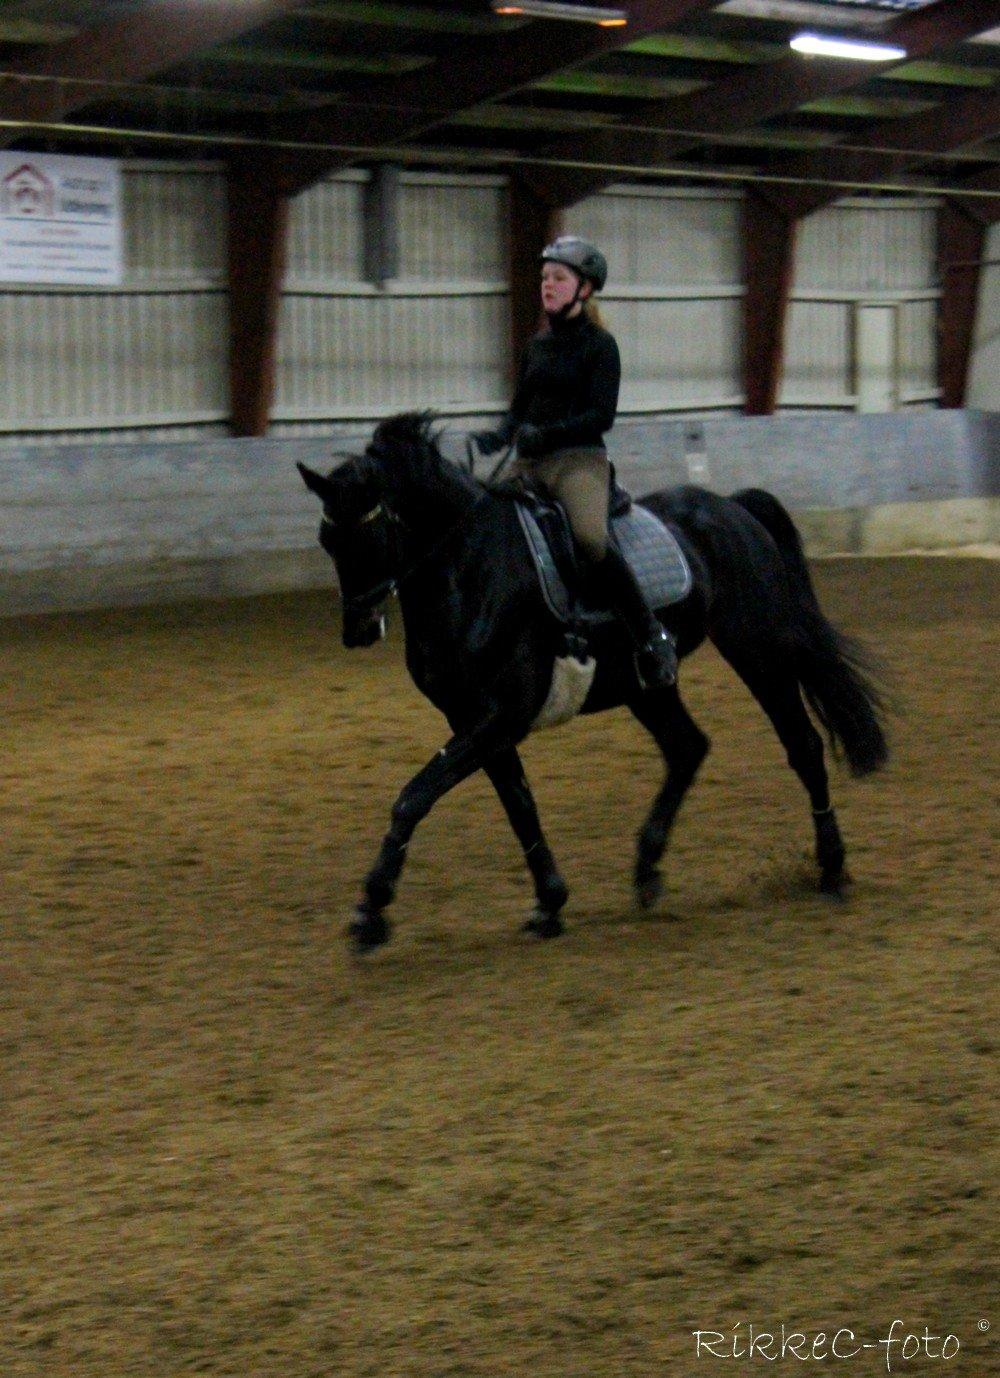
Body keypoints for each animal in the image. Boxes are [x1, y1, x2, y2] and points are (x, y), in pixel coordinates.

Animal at [293, 407, 887, 948]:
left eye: (368, 536)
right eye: (327, 541)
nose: (358, 630)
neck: (469, 569)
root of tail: (732, 506)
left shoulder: (502, 714)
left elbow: (415, 796)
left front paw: (371, 910)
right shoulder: (472, 718)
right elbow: (519, 806)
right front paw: (549, 903)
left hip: (756, 647)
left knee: (803, 746)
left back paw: (831, 869)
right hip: (642, 683)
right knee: (687, 747)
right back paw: (646, 870)